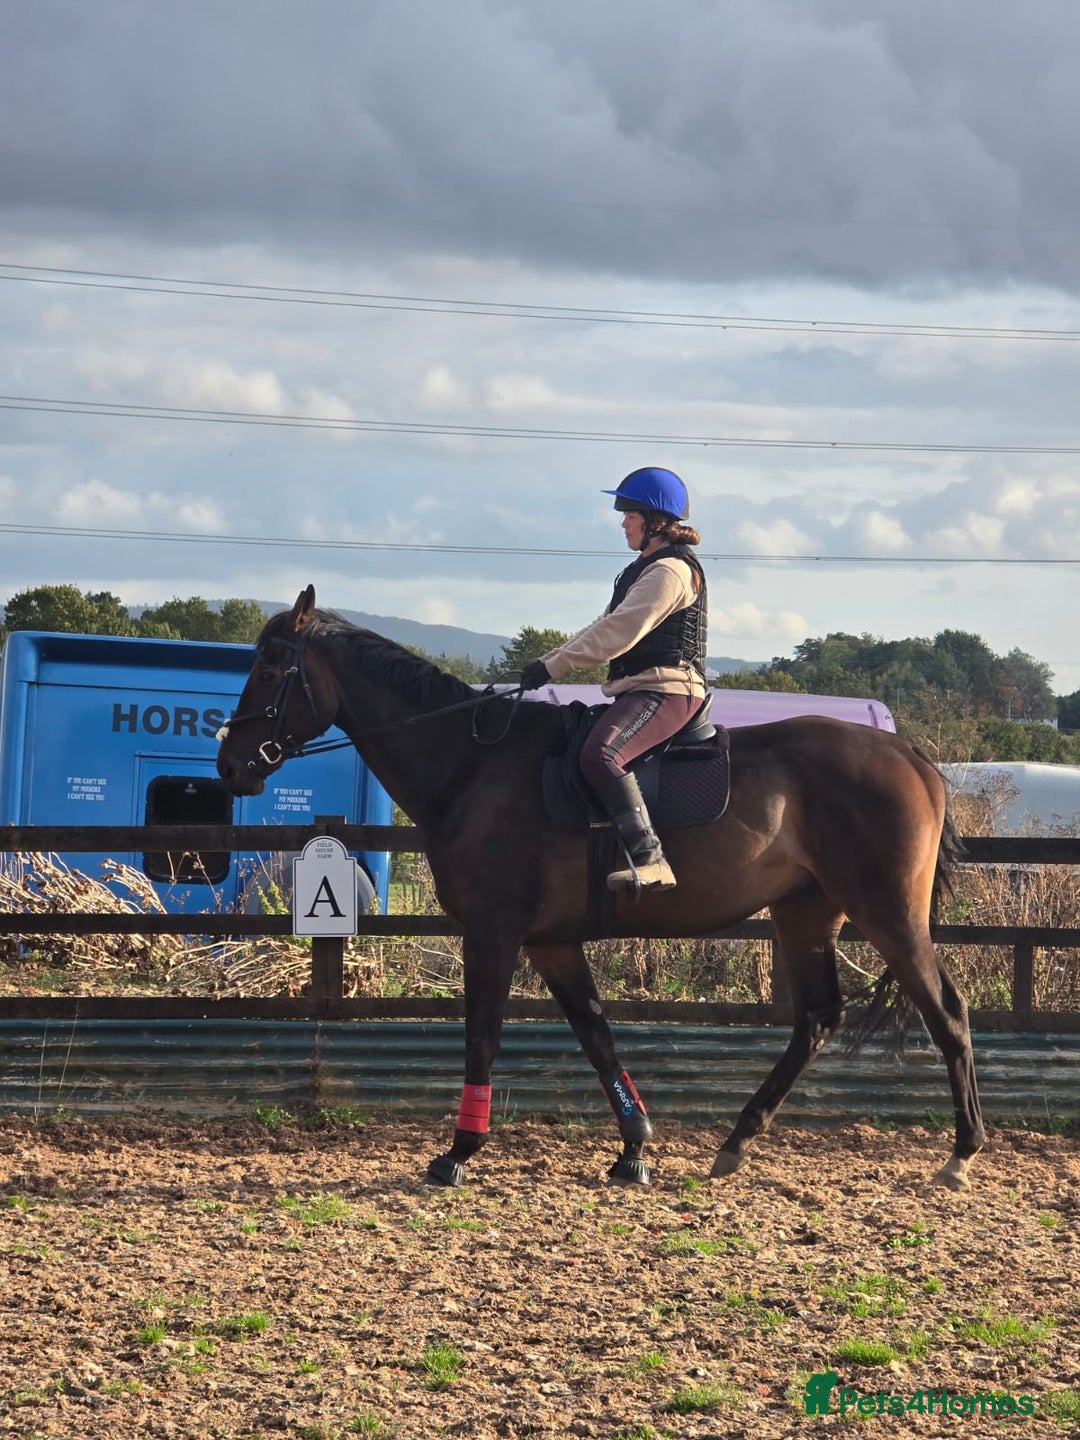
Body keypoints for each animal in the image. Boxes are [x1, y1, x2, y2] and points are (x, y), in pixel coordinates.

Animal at [216, 586, 985, 1191]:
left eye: (274, 666)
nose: (231, 765)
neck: (472, 767)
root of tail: (911, 755)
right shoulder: (552, 943)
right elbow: (596, 1034)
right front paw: (634, 1151)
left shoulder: (492, 933)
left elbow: (483, 1036)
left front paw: (458, 1153)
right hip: (806, 912)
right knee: (819, 1018)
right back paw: (736, 1142)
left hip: (887, 912)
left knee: (946, 1012)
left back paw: (960, 1153)